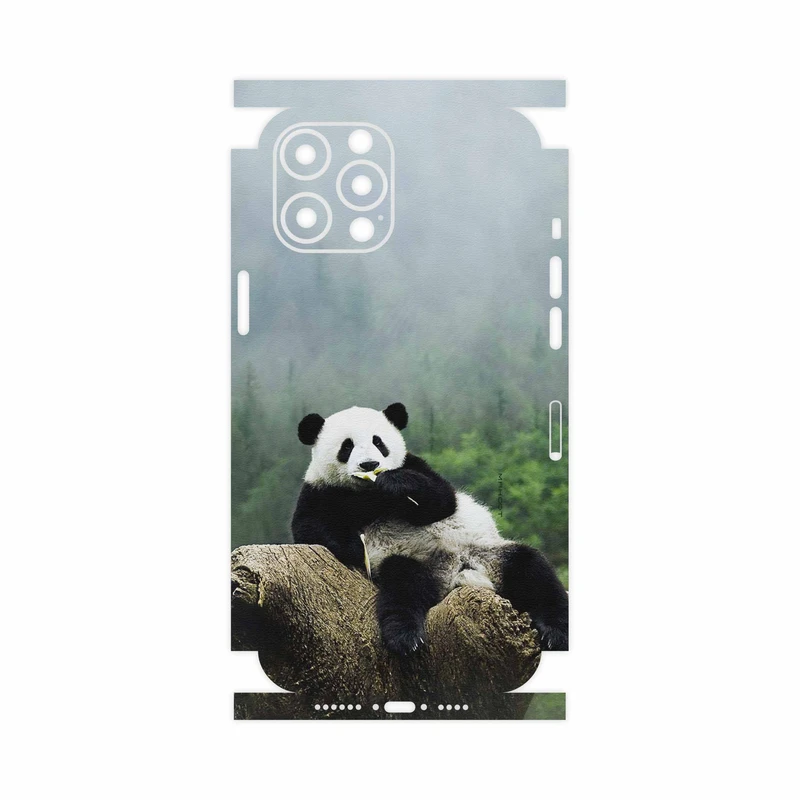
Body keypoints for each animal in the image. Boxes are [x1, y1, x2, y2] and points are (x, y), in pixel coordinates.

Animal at [292, 402, 568, 655]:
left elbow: (442, 500)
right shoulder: (320, 491)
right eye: (347, 446)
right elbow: (309, 528)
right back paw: (405, 638)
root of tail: (459, 573)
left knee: (533, 570)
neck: (368, 494)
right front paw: (354, 547)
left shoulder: (415, 465)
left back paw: (555, 632)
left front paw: (395, 483)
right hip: (416, 563)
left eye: (378, 442)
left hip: (490, 554)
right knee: (403, 587)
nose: (369, 465)